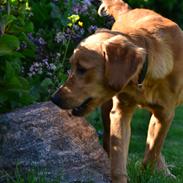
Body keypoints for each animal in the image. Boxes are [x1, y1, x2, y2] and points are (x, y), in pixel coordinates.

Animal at [50, 0, 183, 182]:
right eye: (71, 66)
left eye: (82, 69)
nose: (54, 99)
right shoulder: (120, 113)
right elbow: (119, 159)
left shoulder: (165, 114)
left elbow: (153, 150)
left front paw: (149, 173)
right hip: (106, 108)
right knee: (108, 140)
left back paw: (164, 171)